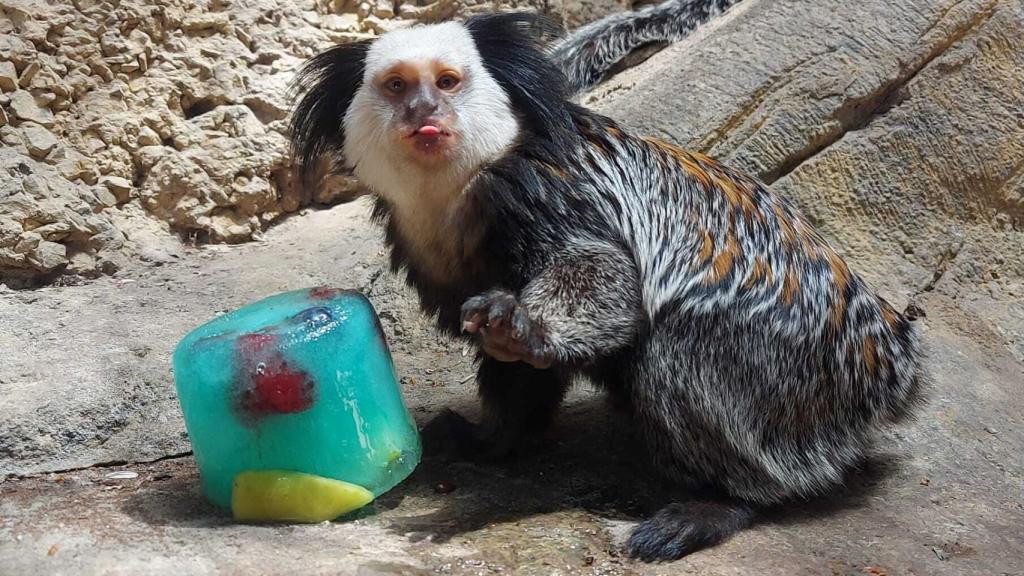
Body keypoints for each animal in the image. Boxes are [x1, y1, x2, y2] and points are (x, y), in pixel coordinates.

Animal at [290, 12, 929, 561]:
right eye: (397, 86)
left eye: (447, 82)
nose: (423, 109)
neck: (459, 190)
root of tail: (888, 359)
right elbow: (515, 370)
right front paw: (493, 438)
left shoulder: (536, 188)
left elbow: (601, 274)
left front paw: (531, 330)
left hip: (790, 368)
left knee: (676, 349)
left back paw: (721, 501)